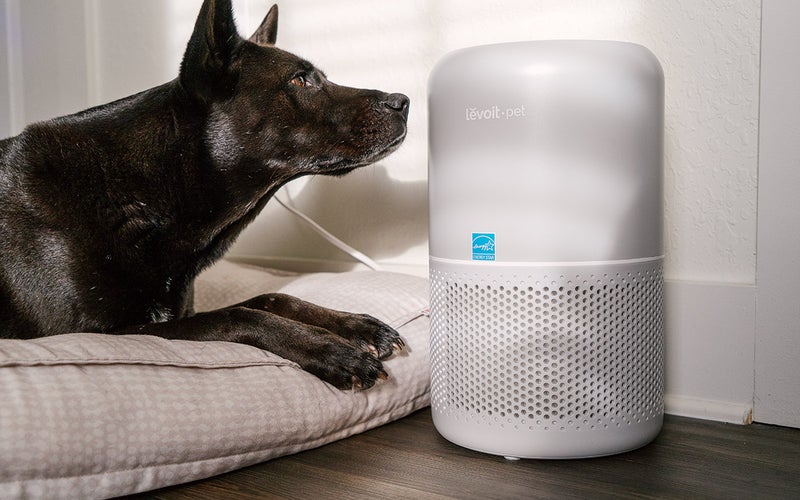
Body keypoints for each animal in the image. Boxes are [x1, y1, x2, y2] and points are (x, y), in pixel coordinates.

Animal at [0, 0, 410, 390]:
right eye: (299, 80)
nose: (403, 102)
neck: (152, 191)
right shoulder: (102, 334)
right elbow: (237, 314)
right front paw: (331, 350)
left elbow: (271, 298)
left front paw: (355, 325)